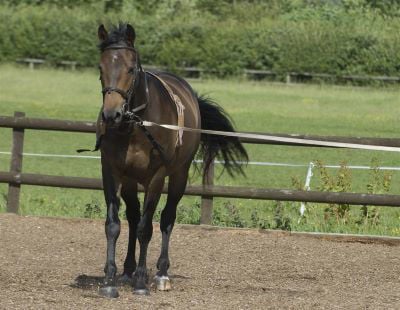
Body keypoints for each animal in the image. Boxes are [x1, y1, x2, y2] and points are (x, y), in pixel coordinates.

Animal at [96, 23, 247, 296]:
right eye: (101, 68)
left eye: (130, 69)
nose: (112, 115)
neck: (135, 126)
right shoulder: (111, 172)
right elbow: (113, 225)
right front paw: (110, 280)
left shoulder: (156, 177)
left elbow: (147, 228)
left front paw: (141, 282)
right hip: (131, 181)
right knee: (133, 217)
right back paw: (128, 270)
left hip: (178, 176)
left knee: (166, 219)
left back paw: (161, 274)